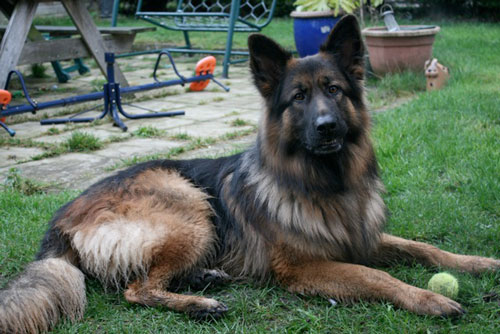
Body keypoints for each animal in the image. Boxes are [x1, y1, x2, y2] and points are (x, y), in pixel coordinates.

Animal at [0, 16, 500, 334]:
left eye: (334, 91)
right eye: (298, 97)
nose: (327, 127)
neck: (326, 183)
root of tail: (62, 217)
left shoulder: (363, 238)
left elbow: (426, 248)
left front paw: (480, 263)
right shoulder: (306, 266)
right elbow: (376, 277)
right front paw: (430, 299)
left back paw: (205, 278)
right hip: (187, 206)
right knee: (136, 288)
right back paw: (200, 303)